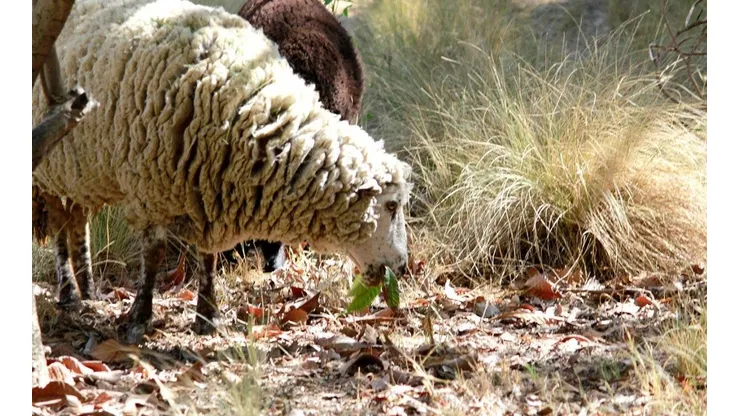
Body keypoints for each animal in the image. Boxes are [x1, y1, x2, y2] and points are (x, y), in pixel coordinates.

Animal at [32, 0, 411, 344]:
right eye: (392, 206)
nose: (403, 267)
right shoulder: (151, 187)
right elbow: (153, 255)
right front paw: (139, 318)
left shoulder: (207, 187)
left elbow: (208, 258)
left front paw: (207, 316)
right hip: (50, 157)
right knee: (60, 228)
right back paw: (69, 292)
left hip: (76, 166)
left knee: (76, 220)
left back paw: (89, 289)